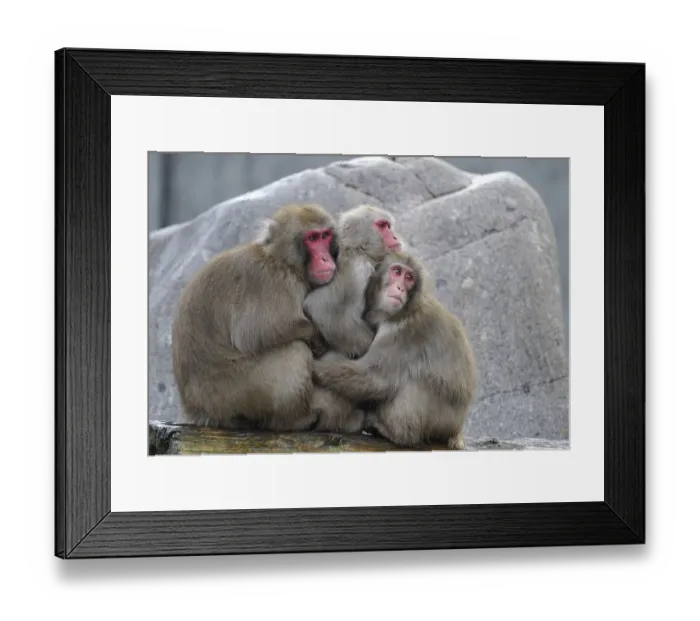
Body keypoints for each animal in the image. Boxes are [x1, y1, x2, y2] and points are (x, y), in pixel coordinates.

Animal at [170, 203, 339, 432]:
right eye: (312, 238)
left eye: (325, 236)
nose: (325, 258)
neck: (281, 260)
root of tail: (194, 409)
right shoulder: (271, 282)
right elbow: (256, 333)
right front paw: (316, 338)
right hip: (235, 392)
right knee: (295, 351)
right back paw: (294, 420)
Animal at [312, 251, 478, 450]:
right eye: (397, 271)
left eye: (409, 278)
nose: (400, 288)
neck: (403, 311)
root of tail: (456, 428)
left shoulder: (404, 332)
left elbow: (375, 378)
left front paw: (314, 366)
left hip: (440, 421)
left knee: (413, 382)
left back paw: (397, 434)